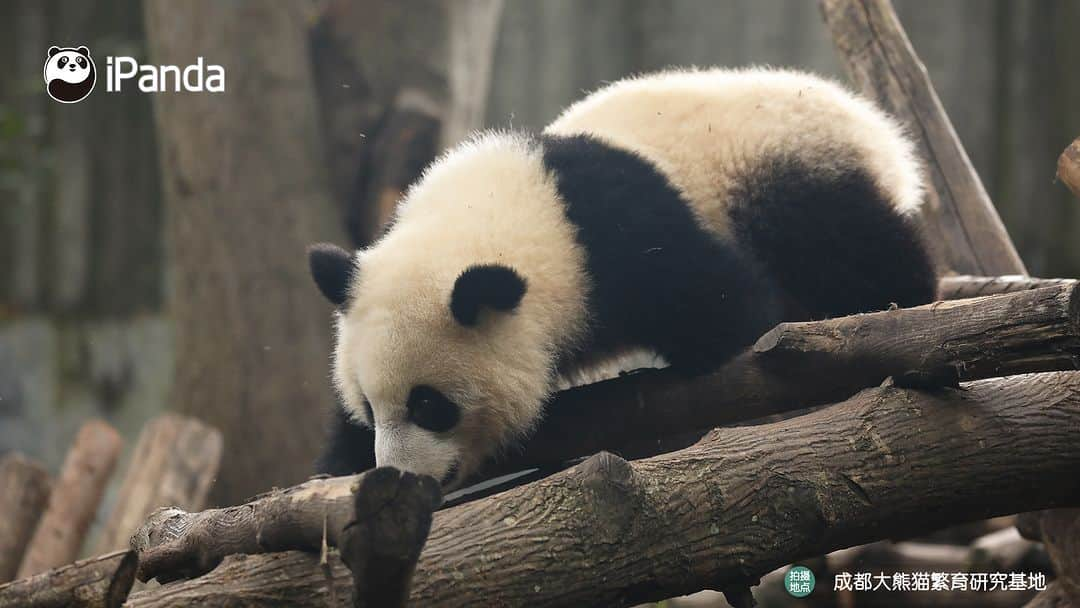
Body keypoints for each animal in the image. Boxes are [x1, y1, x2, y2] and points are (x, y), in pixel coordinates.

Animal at [306, 67, 937, 490]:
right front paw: (340, 465)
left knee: (853, 249)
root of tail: (868, 122)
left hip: (787, 173)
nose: (400, 477)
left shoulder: (624, 238)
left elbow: (735, 310)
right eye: (369, 407)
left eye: (429, 405)